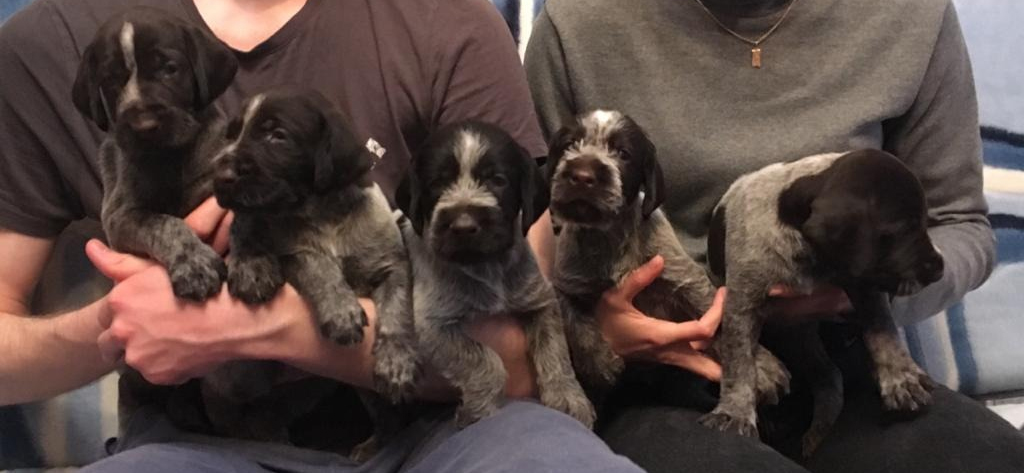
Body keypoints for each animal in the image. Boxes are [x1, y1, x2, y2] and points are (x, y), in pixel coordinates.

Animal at [71, 6, 238, 433]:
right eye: (111, 80)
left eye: (169, 68)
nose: (144, 126)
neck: (169, 158)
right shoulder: (122, 216)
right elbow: (164, 224)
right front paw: (193, 264)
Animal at [208, 88, 419, 444]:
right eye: (231, 134)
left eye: (277, 135)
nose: (220, 177)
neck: (323, 213)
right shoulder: (293, 254)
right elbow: (318, 268)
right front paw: (341, 311)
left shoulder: (392, 266)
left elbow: (396, 311)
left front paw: (397, 362)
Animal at [395, 121, 595, 428]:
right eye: (437, 184)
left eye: (498, 180)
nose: (463, 226)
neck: (484, 265)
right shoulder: (432, 325)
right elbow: (485, 362)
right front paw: (478, 411)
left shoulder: (541, 302)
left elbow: (555, 350)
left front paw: (567, 395)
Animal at [546, 110, 791, 406]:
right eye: (569, 145)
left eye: (623, 153)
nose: (582, 175)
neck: (609, 237)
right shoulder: (566, 284)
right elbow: (575, 321)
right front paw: (598, 363)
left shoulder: (684, 279)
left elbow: (721, 321)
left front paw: (760, 367)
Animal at [699, 149, 944, 457]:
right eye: (903, 228)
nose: (940, 269)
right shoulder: (741, 304)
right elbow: (739, 362)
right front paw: (735, 412)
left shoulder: (864, 284)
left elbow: (883, 329)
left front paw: (901, 376)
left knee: (830, 375)